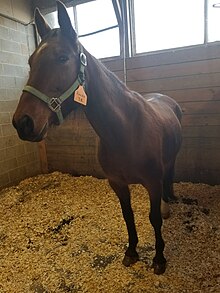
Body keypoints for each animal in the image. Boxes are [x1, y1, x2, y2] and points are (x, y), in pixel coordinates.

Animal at [12, 0, 183, 274]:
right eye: (30, 61)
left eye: (63, 58)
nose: (23, 123)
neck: (126, 131)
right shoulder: (117, 183)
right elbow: (128, 216)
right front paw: (131, 251)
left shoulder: (153, 183)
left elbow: (154, 218)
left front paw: (159, 258)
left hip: (172, 159)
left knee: (170, 174)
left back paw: (171, 199)